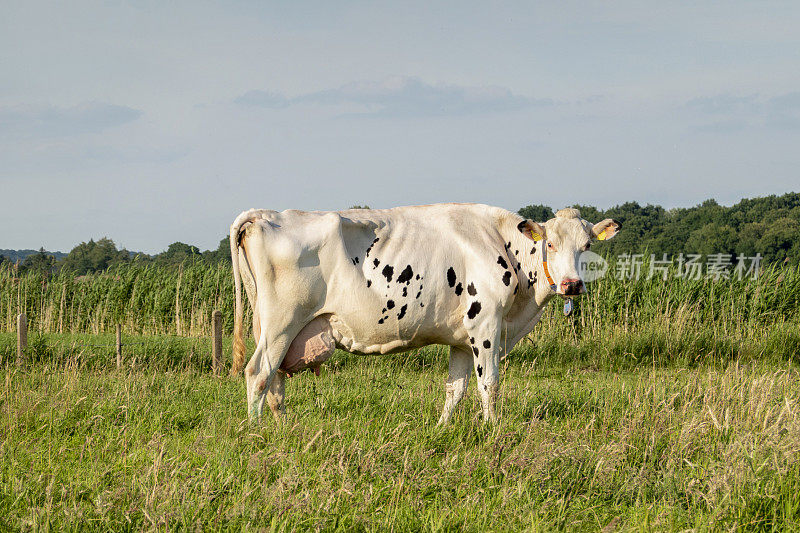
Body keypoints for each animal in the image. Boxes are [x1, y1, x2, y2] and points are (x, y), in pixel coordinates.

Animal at [228, 204, 620, 424]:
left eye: (587, 245)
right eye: (549, 244)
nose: (572, 285)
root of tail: (267, 215)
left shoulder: (462, 337)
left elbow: (456, 388)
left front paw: (442, 428)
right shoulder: (486, 324)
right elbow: (489, 383)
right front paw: (494, 430)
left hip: (278, 328)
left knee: (275, 380)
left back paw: (283, 430)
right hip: (282, 322)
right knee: (259, 373)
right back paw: (256, 431)